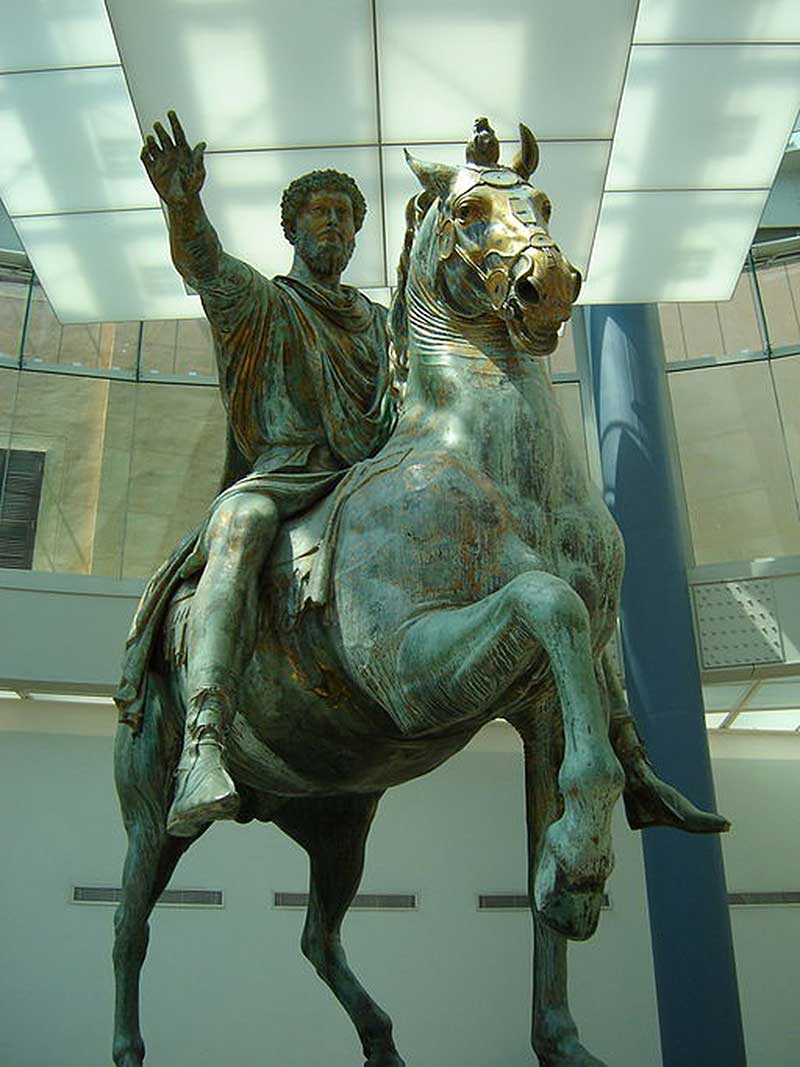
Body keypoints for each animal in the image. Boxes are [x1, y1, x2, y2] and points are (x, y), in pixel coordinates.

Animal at [113, 124, 640, 1067]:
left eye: (541, 203)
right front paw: (580, 865)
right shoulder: (405, 669)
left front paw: (571, 902)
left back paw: (385, 1041)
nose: (547, 288)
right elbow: (549, 599)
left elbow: (554, 849)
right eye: (468, 209)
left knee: (317, 935)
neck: (483, 460)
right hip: (150, 814)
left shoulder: (544, 705)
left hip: (338, 821)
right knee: (129, 929)